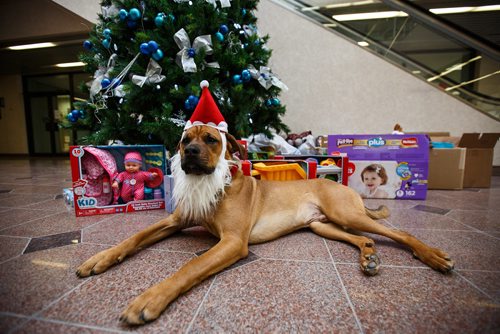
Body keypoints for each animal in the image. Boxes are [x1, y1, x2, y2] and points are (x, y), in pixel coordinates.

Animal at [76, 82, 456, 324]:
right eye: (184, 140)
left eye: (211, 139)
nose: (190, 153)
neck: (215, 185)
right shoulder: (173, 220)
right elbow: (133, 238)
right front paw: (99, 259)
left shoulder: (232, 242)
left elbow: (189, 268)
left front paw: (150, 299)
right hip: (324, 226)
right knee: (363, 239)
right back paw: (368, 258)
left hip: (346, 213)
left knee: (400, 233)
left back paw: (433, 256)